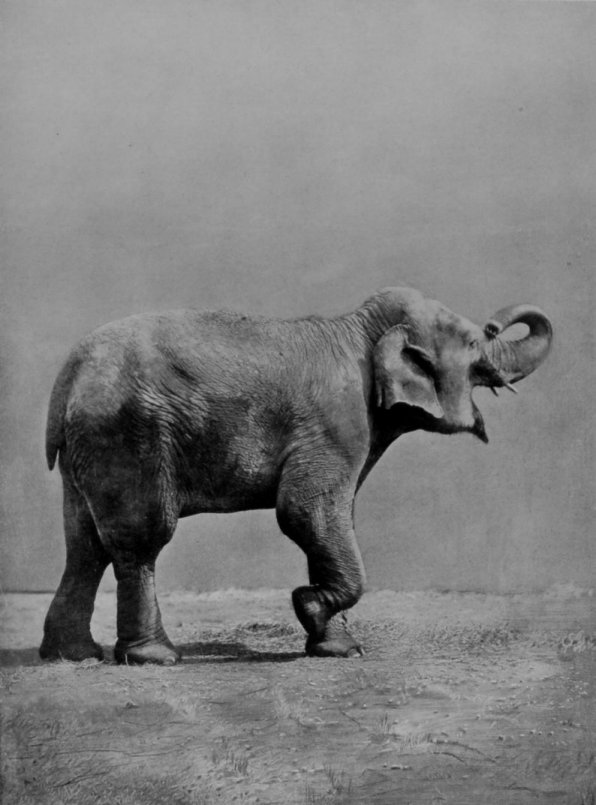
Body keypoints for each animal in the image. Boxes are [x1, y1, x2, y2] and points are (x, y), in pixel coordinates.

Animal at [40, 286, 553, 664]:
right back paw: (155, 657)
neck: (359, 329)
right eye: (474, 342)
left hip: (87, 450)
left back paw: (72, 655)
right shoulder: (337, 421)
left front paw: (338, 647)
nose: (494, 323)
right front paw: (315, 610)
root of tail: (68, 376)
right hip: (130, 436)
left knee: (84, 544)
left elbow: (334, 517)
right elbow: (306, 511)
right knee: (140, 539)